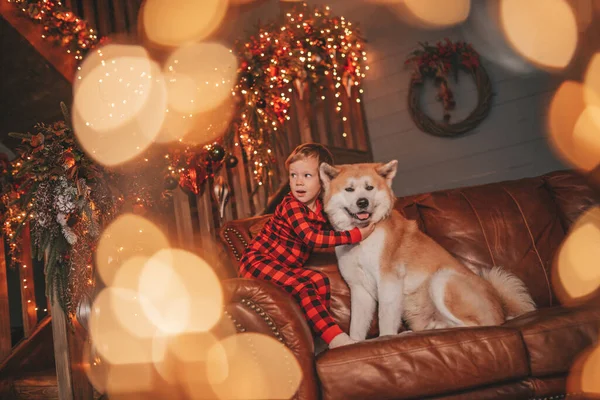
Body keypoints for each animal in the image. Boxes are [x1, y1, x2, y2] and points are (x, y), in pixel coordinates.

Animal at [318, 160, 536, 340]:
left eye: (369, 187)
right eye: (349, 189)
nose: (362, 202)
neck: (363, 239)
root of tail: (502, 314)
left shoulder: (389, 281)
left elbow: (385, 318)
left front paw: (386, 338)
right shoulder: (359, 289)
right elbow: (356, 327)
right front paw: (353, 343)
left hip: (441, 280)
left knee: (473, 326)